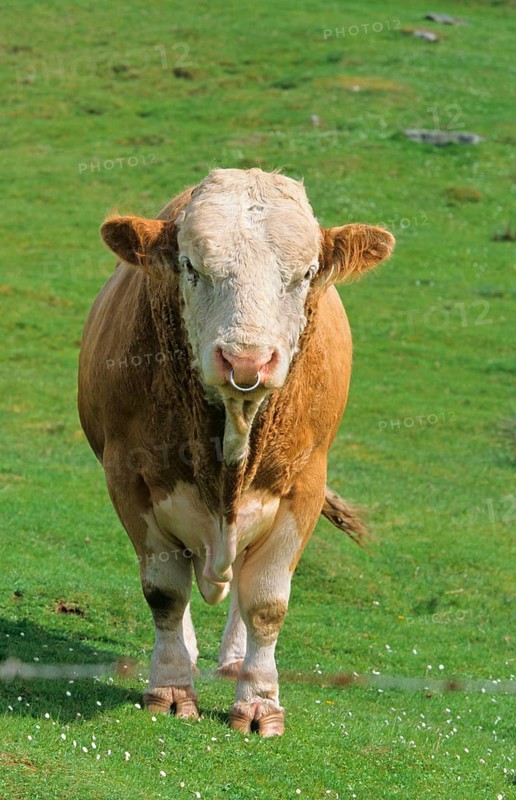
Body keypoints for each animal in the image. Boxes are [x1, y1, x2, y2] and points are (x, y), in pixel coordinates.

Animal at [78, 168, 394, 736]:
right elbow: (165, 592)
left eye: (306, 273)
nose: (246, 360)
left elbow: (266, 602)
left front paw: (259, 703)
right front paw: (171, 688)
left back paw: (231, 658)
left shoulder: (303, 485)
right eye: (190, 266)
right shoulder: (130, 478)